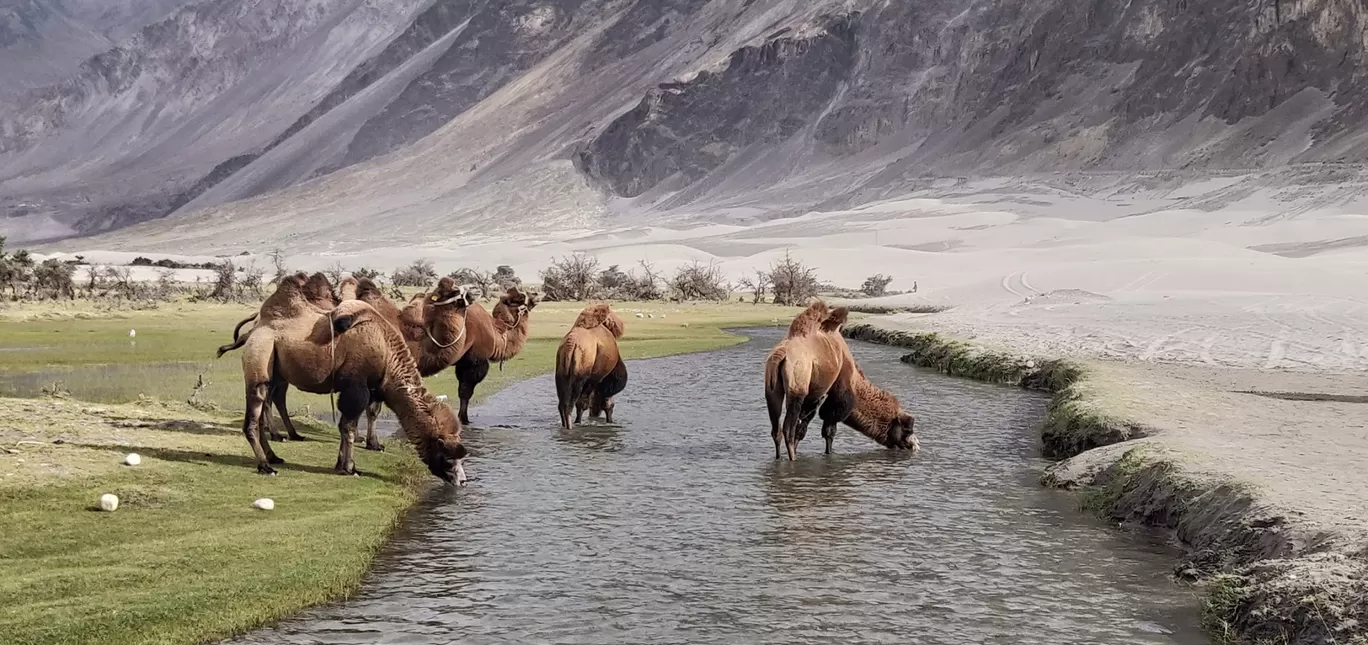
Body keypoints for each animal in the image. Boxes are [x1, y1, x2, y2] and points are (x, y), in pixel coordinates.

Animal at [236, 276, 470, 484]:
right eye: (448, 456)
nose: (462, 481)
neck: (386, 351)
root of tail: (256, 327)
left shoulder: (369, 389)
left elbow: (350, 424)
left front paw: (343, 464)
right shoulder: (356, 387)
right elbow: (347, 427)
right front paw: (350, 467)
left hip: (276, 372)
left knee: (266, 408)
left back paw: (274, 455)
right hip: (260, 359)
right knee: (254, 416)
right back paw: (266, 466)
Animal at [766, 301, 848, 460]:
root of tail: (780, 354)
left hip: (771, 388)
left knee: (776, 427)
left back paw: (779, 457)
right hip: (798, 385)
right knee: (788, 429)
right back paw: (793, 458)